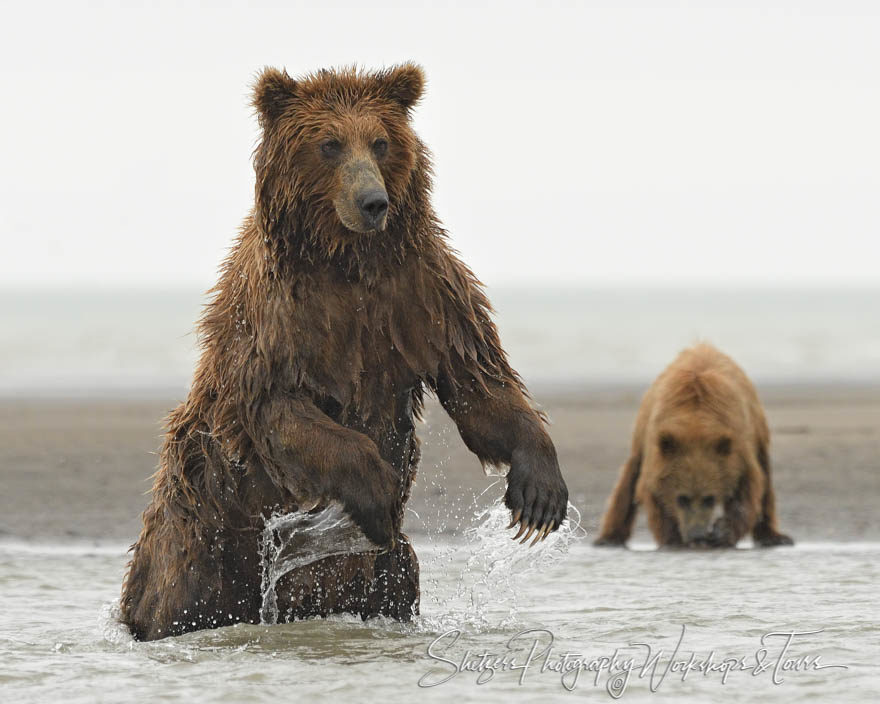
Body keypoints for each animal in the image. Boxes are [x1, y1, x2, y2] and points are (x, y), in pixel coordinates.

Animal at [120, 63, 568, 640]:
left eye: (380, 142)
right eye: (329, 144)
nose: (373, 202)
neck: (347, 259)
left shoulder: (425, 296)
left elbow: (478, 383)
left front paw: (540, 495)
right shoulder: (280, 322)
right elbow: (278, 407)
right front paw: (377, 492)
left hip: (381, 572)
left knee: (398, 581)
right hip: (204, 532)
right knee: (178, 595)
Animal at [596, 344, 796, 548]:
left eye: (709, 498)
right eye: (683, 498)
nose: (697, 535)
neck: (696, 424)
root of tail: (703, 345)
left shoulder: (739, 446)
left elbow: (748, 490)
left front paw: (722, 531)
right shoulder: (657, 446)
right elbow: (653, 494)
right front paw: (674, 537)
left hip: (758, 428)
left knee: (766, 480)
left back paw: (774, 536)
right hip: (640, 433)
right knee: (628, 479)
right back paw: (609, 538)